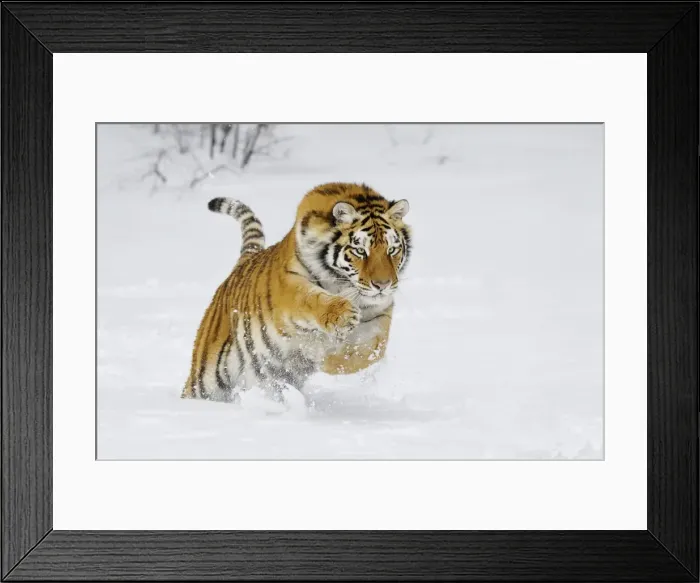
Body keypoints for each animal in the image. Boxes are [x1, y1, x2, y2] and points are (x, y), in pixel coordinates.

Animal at [182, 182, 412, 402]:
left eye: (392, 250)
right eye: (360, 251)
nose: (382, 285)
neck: (345, 286)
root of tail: (243, 262)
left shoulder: (378, 316)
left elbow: (371, 351)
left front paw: (327, 360)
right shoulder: (290, 283)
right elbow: (310, 299)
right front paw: (341, 317)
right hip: (207, 380)